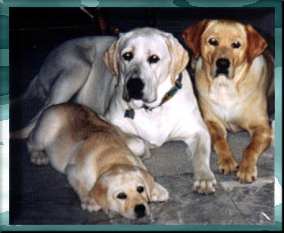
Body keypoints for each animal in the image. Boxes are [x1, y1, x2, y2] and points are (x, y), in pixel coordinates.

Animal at [13, 27, 216, 194]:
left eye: (154, 59)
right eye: (127, 56)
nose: (134, 85)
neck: (152, 110)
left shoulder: (199, 131)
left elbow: (202, 153)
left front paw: (204, 178)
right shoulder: (107, 120)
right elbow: (137, 142)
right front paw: (146, 147)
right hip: (76, 70)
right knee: (37, 120)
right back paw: (38, 154)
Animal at [25, 103, 169, 219]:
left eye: (140, 189)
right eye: (121, 196)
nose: (140, 209)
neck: (113, 157)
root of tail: (58, 104)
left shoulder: (135, 157)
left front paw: (157, 189)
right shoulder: (72, 171)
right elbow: (81, 185)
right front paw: (90, 200)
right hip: (45, 131)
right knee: (30, 142)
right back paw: (38, 156)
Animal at [183, 20, 274, 183]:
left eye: (236, 44)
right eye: (213, 41)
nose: (223, 63)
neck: (225, 87)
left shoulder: (263, 127)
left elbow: (250, 148)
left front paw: (246, 169)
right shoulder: (210, 121)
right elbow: (220, 140)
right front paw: (227, 160)